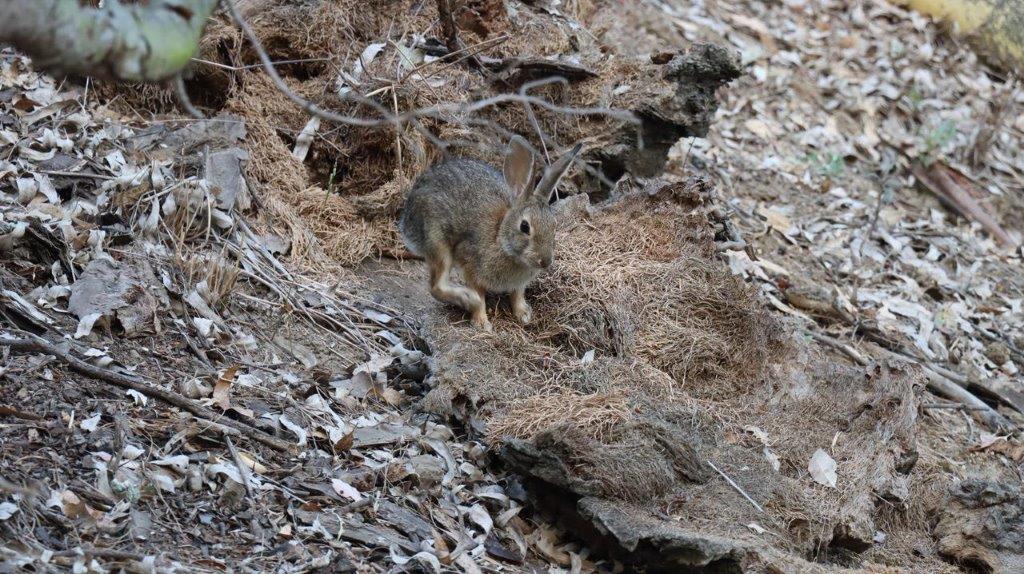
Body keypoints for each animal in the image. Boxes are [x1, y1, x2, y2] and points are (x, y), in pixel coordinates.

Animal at [395, 136, 581, 329]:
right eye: (524, 226)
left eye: (554, 225)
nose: (545, 262)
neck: (502, 240)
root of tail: (406, 219)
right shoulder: (471, 266)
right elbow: (480, 295)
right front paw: (481, 322)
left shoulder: (518, 285)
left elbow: (517, 295)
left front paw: (523, 314)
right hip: (437, 242)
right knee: (435, 286)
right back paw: (467, 298)